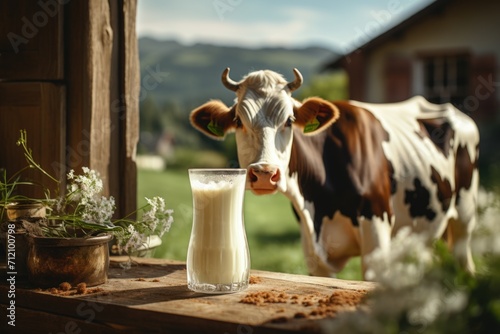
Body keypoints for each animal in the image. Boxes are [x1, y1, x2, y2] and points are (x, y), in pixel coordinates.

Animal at [189, 66, 478, 278]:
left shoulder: (377, 236)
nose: (264, 173)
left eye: (289, 120)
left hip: (464, 215)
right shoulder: (315, 255)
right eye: (238, 121)